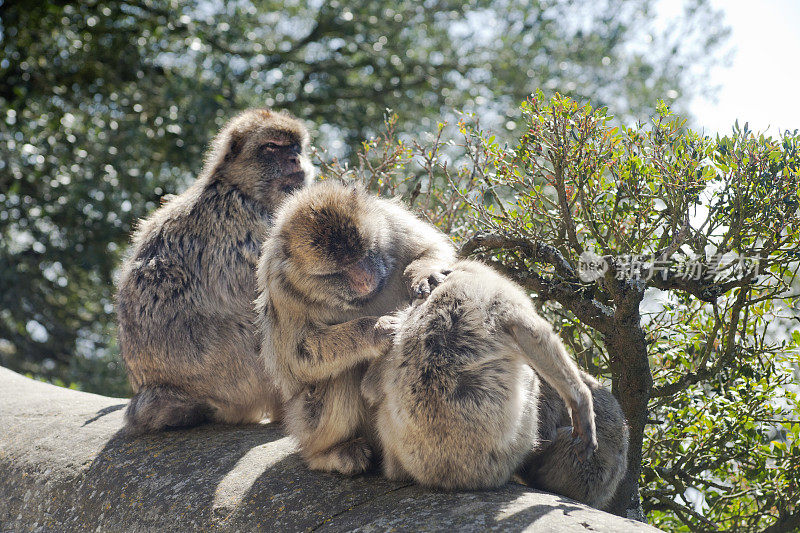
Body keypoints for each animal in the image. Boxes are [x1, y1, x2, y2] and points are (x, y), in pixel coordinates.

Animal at [117, 107, 314, 432]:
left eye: (295, 147)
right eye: (272, 147)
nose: (295, 159)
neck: (236, 186)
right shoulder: (251, 223)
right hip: (241, 377)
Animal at [258, 180, 456, 474]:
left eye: (364, 254)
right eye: (337, 271)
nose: (365, 279)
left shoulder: (389, 219)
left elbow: (431, 248)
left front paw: (424, 272)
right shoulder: (281, 288)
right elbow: (297, 358)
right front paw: (376, 330)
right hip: (304, 420)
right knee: (342, 374)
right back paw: (326, 454)